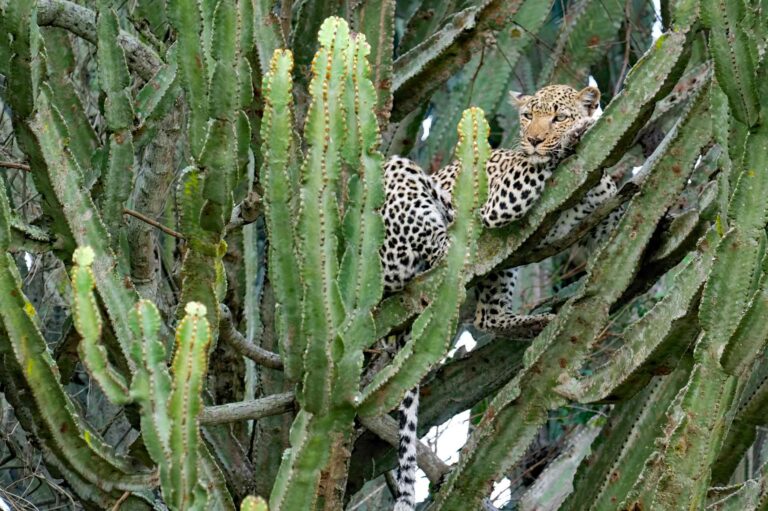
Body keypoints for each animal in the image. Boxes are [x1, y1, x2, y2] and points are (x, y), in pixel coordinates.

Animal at [381, 84, 620, 511]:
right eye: (527, 117)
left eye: (558, 116)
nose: (535, 138)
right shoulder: (505, 197)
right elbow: (538, 164)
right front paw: (575, 136)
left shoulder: (604, 218)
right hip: (399, 179)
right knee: (440, 244)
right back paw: (455, 232)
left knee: (488, 316)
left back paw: (535, 323)